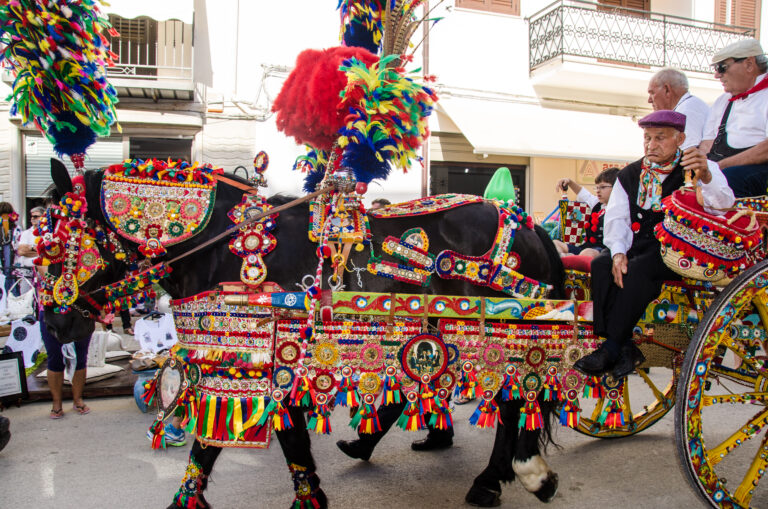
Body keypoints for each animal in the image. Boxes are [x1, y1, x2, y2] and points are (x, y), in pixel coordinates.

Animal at [46, 160, 564, 508]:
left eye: (54, 242)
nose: (52, 322)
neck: (223, 247)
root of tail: (524, 222)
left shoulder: (257, 362)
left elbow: (229, 441)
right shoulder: (260, 362)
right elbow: (268, 438)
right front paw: (308, 492)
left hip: (496, 336)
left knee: (513, 401)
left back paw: (512, 475)